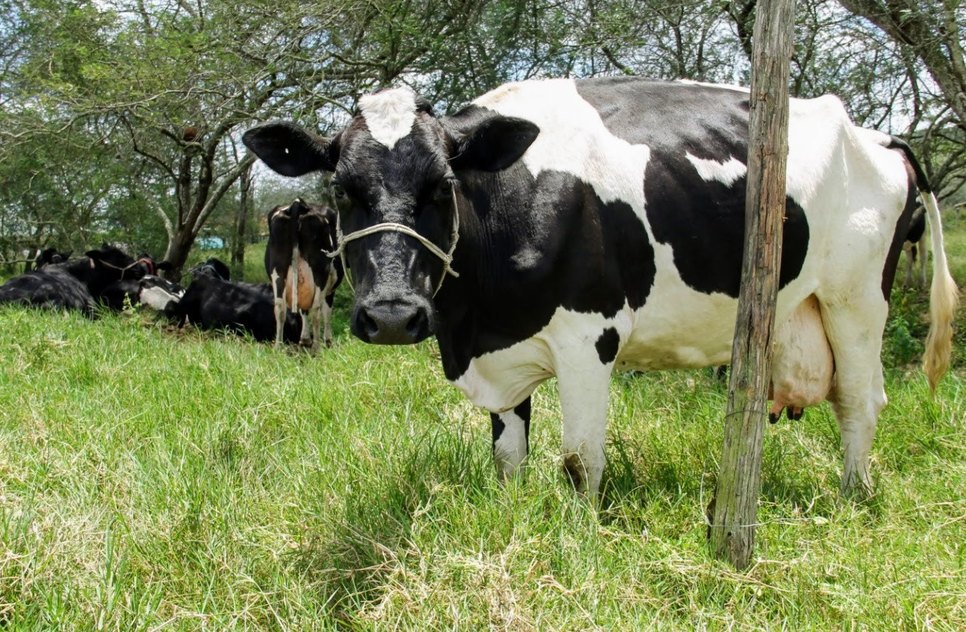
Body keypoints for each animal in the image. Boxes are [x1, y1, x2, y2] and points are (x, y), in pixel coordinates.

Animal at [265, 198, 344, 351]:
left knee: (280, 307)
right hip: (320, 271)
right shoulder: (330, 288)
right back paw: (317, 348)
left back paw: (278, 347)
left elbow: (303, 310)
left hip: (278, 270)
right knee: (316, 309)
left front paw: (305, 339)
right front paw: (328, 341)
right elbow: (327, 311)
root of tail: (298, 204)